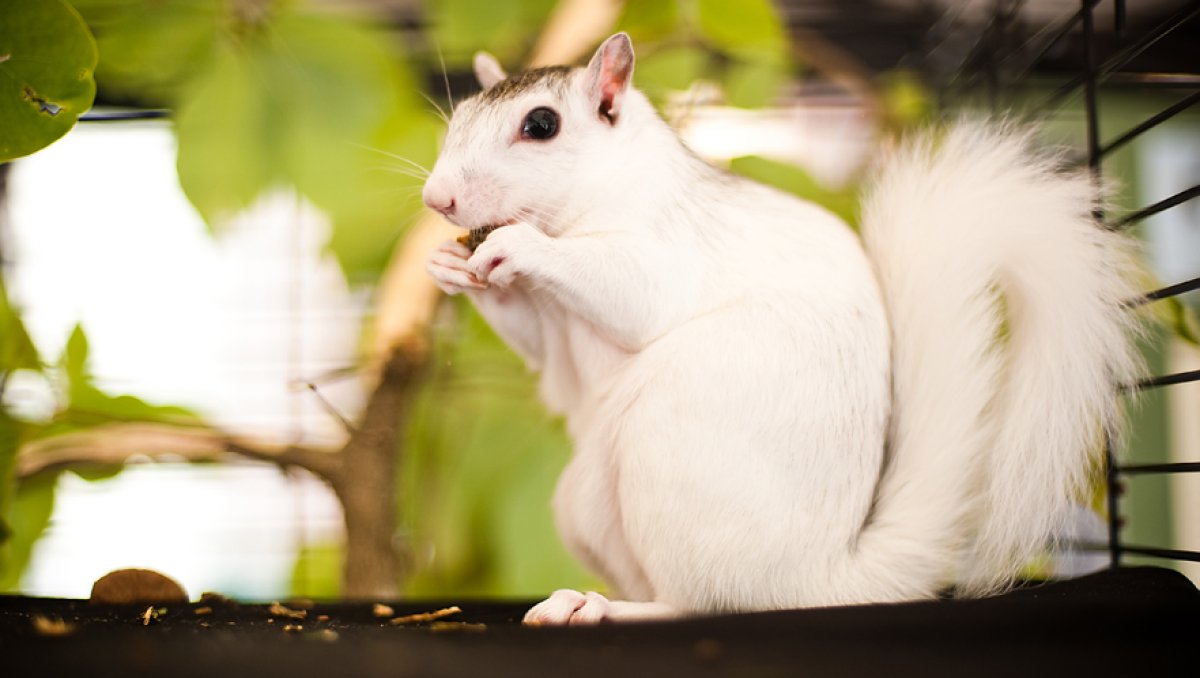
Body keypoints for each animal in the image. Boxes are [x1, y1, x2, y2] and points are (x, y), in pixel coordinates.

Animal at [422, 33, 1142, 624]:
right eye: (459, 117)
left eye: (541, 124)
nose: (437, 200)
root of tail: (816, 581)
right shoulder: (551, 333)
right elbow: (541, 350)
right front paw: (448, 266)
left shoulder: (669, 247)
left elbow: (634, 292)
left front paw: (518, 248)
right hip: (583, 505)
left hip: (671, 460)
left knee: (702, 602)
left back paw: (606, 610)